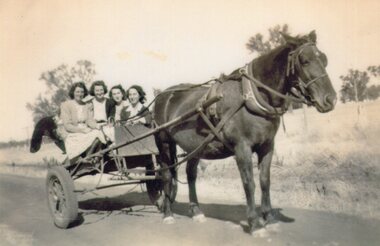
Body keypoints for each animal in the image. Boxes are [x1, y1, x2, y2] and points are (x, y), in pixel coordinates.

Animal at [151, 30, 336, 233]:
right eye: (304, 61)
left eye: (324, 59)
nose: (330, 99)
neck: (251, 96)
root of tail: (163, 95)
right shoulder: (242, 148)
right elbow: (249, 183)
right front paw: (254, 223)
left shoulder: (267, 146)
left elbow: (264, 181)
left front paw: (269, 217)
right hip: (164, 143)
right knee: (166, 175)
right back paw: (168, 214)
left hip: (196, 146)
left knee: (191, 174)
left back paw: (196, 211)